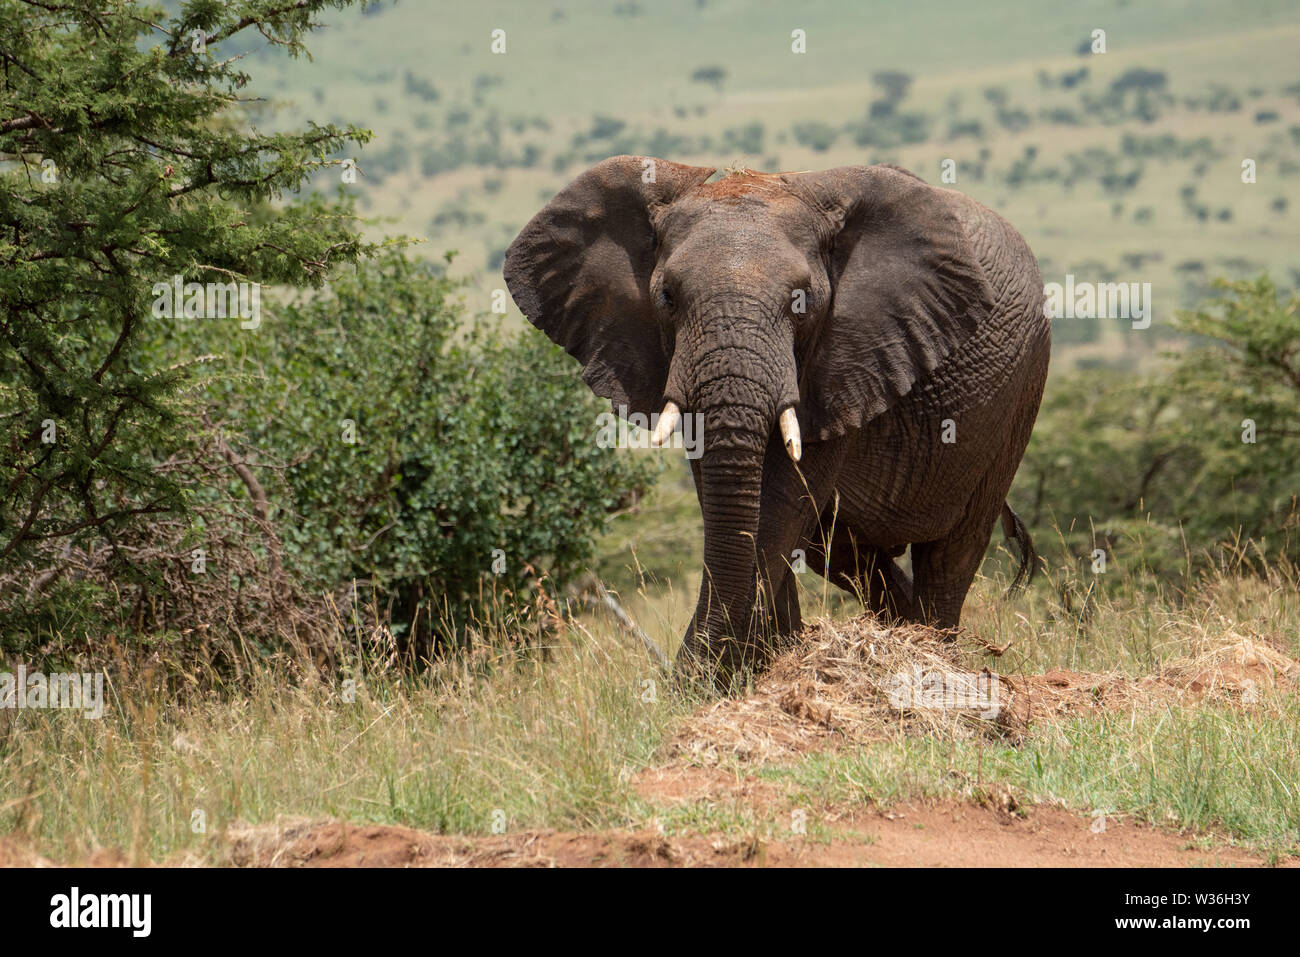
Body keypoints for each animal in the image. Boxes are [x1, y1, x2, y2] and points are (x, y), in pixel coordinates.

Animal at [504, 155, 1050, 685]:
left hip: (1019, 394)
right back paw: (896, 637)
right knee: (852, 557)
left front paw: (715, 679)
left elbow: (782, 502)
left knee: (953, 550)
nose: (673, 684)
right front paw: (758, 669)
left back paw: (931, 656)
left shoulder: (846, 360)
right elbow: (737, 501)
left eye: (801, 301)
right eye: (667, 298)